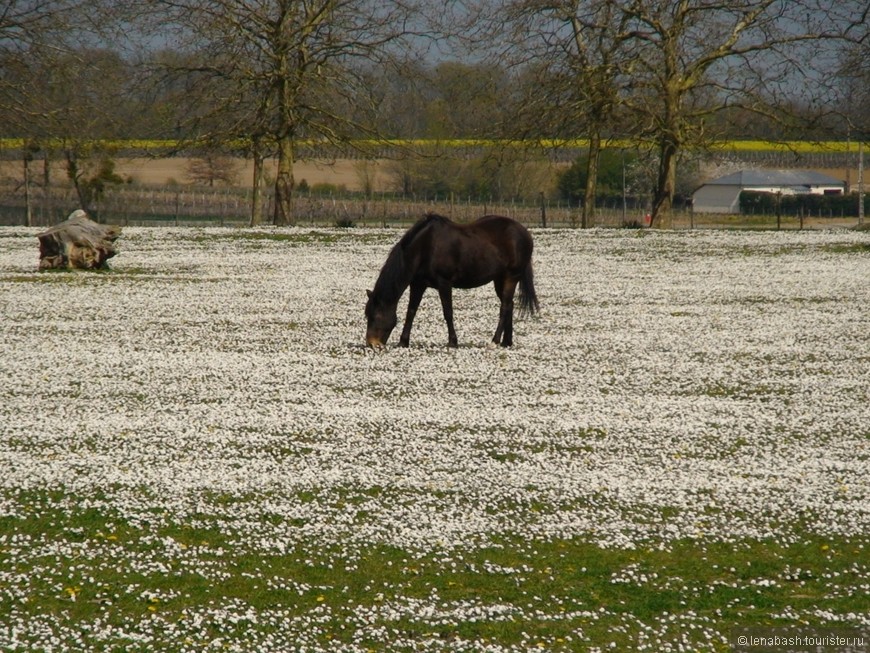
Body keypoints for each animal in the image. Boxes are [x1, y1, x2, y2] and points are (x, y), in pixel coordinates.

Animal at [362, 213, 540, 346]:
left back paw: (495, 341)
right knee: (509, 304)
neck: (426, 247)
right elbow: (411, 311)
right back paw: (506, 342)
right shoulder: (418, 284)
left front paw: (453, 341)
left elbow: (448, 312)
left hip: (511, 276)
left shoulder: (444, 283)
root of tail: (524, 232)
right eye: (367, 316)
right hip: (499, 279)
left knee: (504, 307)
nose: (371, 343)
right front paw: (403, 342)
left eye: (375, 316)